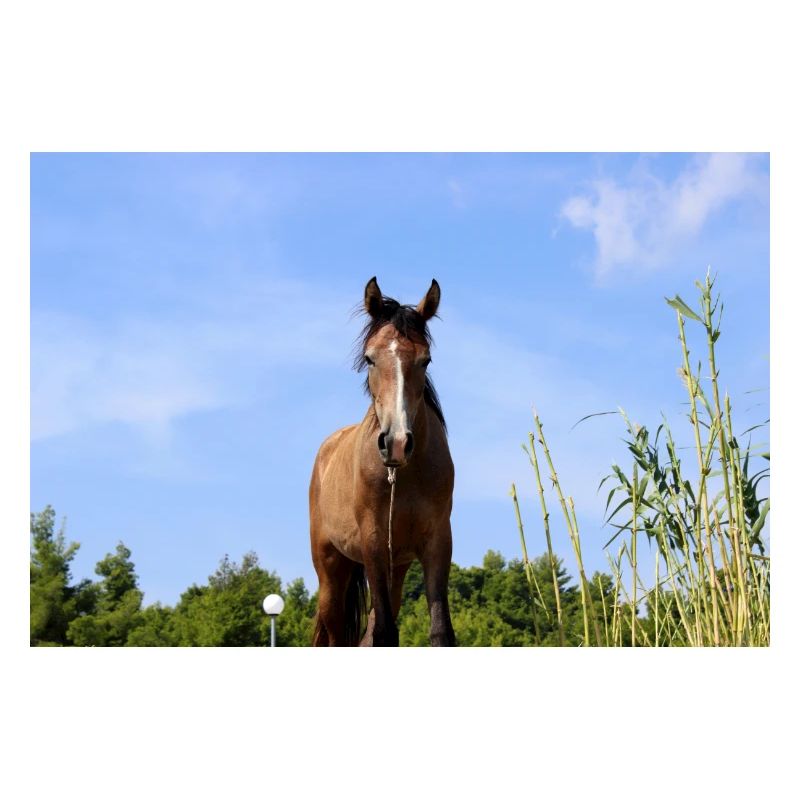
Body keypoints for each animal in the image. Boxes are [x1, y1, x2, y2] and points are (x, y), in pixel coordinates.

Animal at [309, 277, 456, 646]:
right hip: (331, 569)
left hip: (395, 568)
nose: (397, 443)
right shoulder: (372, 543)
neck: (405, 476)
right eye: (370, 358)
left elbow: (440, 631)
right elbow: (386, 633)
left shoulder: (437, 543)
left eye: (425, 360)